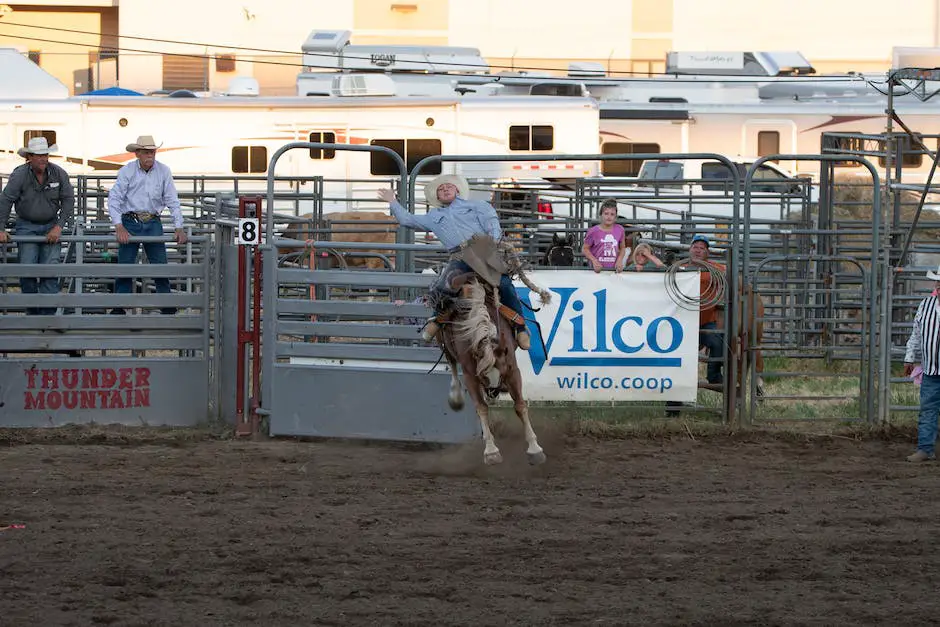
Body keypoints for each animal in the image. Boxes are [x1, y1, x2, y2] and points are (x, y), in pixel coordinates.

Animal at [432, 236, 556, 466]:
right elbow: (481, 407)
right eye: (482, 375)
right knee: (451, 365)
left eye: (504, 368)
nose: (495, 390)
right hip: (444, 345)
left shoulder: (512, 368)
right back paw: (456, 397)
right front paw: (491, 451)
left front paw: (535, 449)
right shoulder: (471, 374)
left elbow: (520, 405)